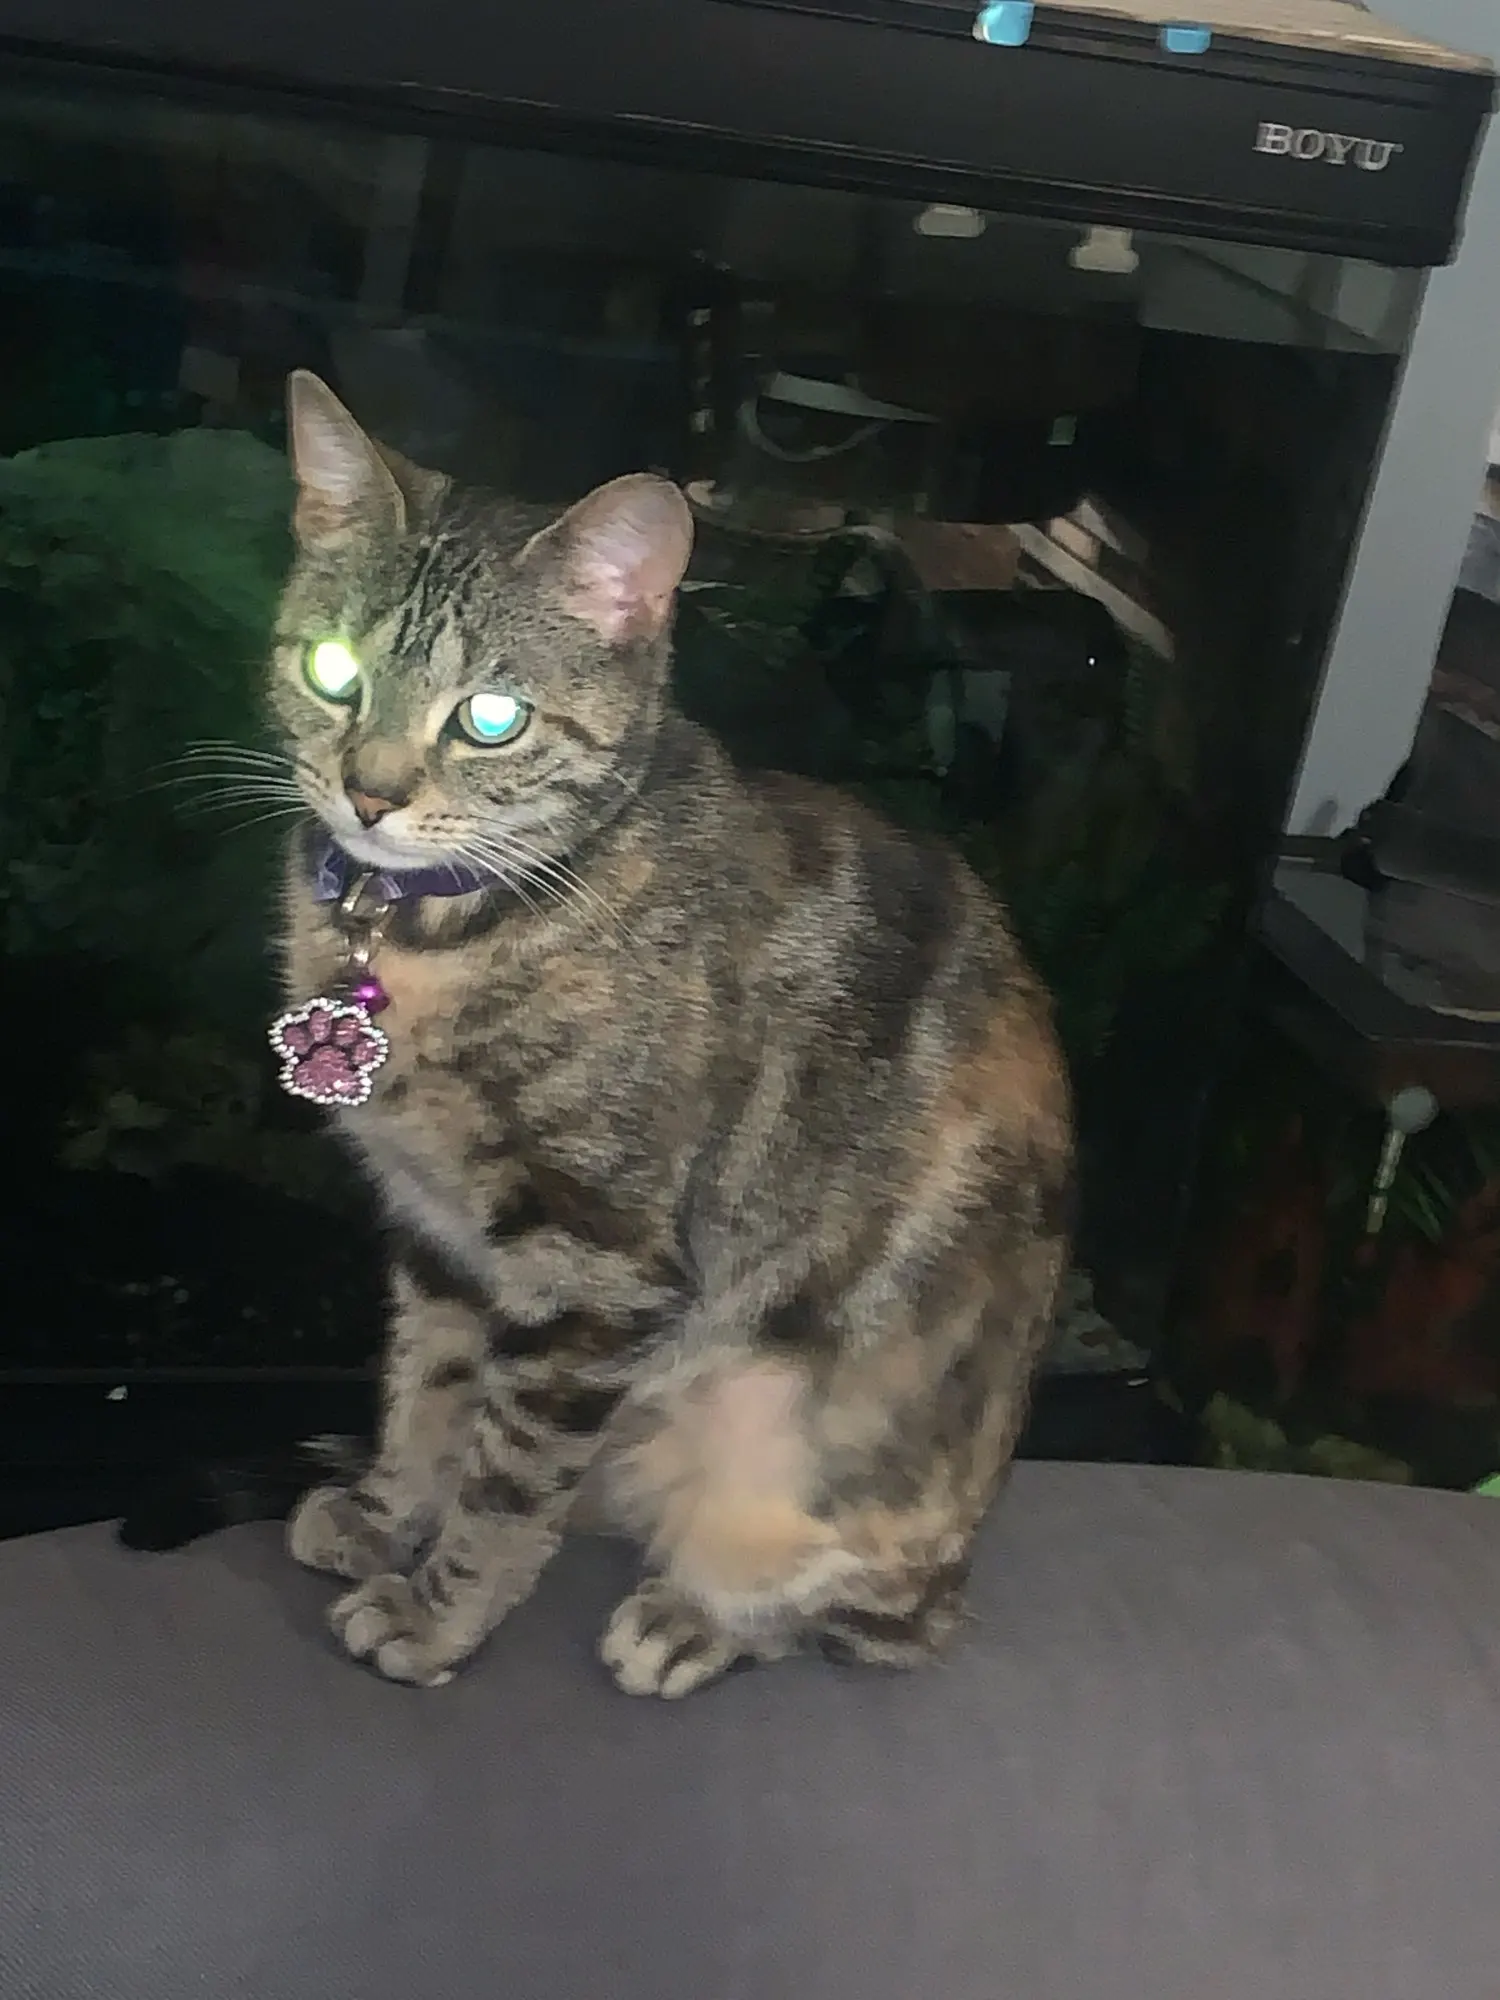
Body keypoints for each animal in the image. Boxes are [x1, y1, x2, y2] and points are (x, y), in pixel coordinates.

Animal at [273, 370, 1072, 1697]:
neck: (449, 933)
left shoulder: (597, 1262)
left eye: (493, 717)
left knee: (885, 1616)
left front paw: (437, 1615)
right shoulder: (438, 1235)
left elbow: (504, 1485)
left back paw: (694, 1618)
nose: (370, 793)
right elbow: (428, 1392)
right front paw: (387, 1513)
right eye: (335, 669)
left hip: (819, 1463)